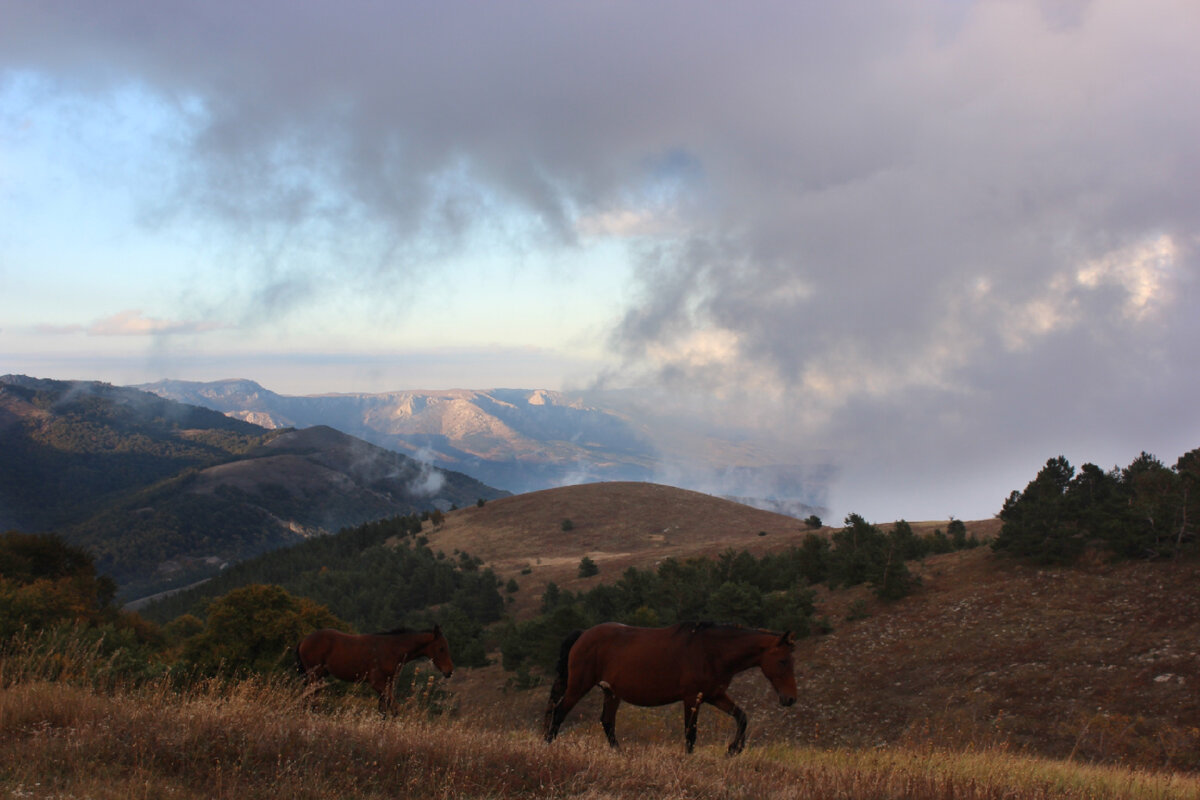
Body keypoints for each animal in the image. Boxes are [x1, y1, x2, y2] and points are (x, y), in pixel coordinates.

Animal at [295, 623, 453, 714]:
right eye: (441, 648)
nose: (449, 672)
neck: (392, 649)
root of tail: (304, 640)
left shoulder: (388, 683)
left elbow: (384, 708)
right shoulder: (377, 683)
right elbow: (394, 707)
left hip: (318, 676)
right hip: (314, 675)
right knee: (308, 698)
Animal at [544, 618, 796, 758]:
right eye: (783, 661)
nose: (790, 699)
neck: (712, 651)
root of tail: (583, 635)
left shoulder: (714, 695)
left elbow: (742, 717)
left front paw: (733, 749)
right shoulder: (692, 698)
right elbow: (690, 733)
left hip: (611, 692)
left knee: (607, 722)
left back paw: (621, 754)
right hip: (579, 685)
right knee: (559, 712)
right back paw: (548, 746)